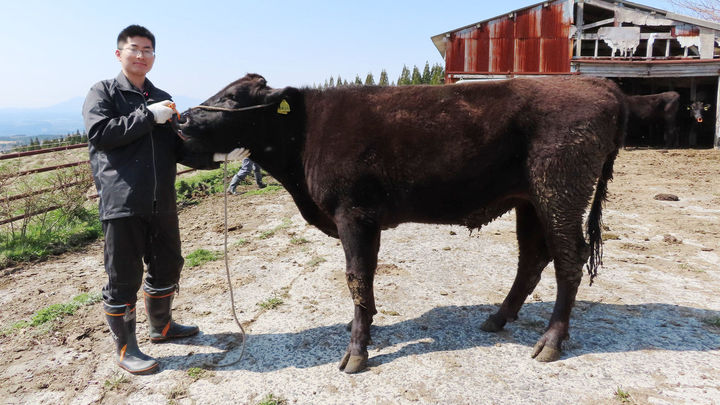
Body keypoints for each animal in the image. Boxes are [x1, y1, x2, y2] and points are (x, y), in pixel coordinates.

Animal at [177, 73, 628, 372]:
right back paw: (498, 318)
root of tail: (598, 85)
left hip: (560, 190)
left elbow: (356, 275)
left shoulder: (353, 213)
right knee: (532, 258)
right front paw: (362, 324)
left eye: (233, 98)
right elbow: (365, 278)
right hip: (530, 200)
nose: (180, 119)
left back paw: (550, 341)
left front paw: (356, 351)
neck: (303, 139)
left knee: (568, 260)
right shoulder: (365, 219)